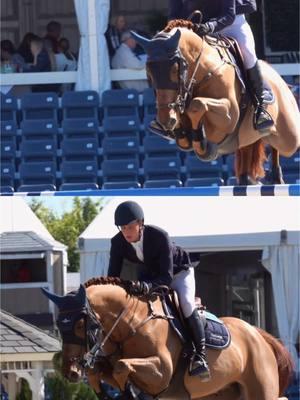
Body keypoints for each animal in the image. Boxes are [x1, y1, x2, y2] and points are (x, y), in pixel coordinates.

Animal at [41, 278, 294, 400]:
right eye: (59, 326)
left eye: (79, 325)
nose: (70, 372)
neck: (131, 323)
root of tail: (257, 334)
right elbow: (101, 372)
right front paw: (107, 392)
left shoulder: (161, 373)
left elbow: (122, 367)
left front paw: (130, 393)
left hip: (260, 390)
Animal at [131, 19, 300, 185]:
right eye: (149, 72)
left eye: (175, 69)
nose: (166, 120)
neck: (203, 70)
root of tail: (280, 80)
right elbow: (185, 131)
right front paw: (183, 129)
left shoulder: (229, 115)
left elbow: (197, 105)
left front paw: (203, 144)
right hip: (247, 138)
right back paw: (255, 179)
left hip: (289, 137)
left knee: (280, 146)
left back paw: (274, 175)